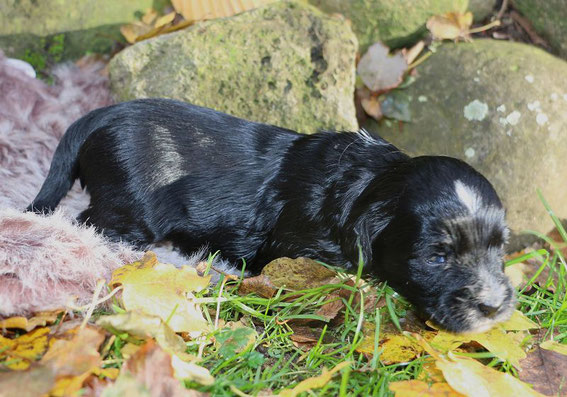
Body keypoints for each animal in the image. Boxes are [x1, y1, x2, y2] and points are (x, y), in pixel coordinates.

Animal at [28, 97, 516, 332]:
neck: (370, 182)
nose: (494, 308)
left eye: (500, 248)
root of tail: (97, 118)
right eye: (436, 257)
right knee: (83, 223)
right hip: (129, 211)